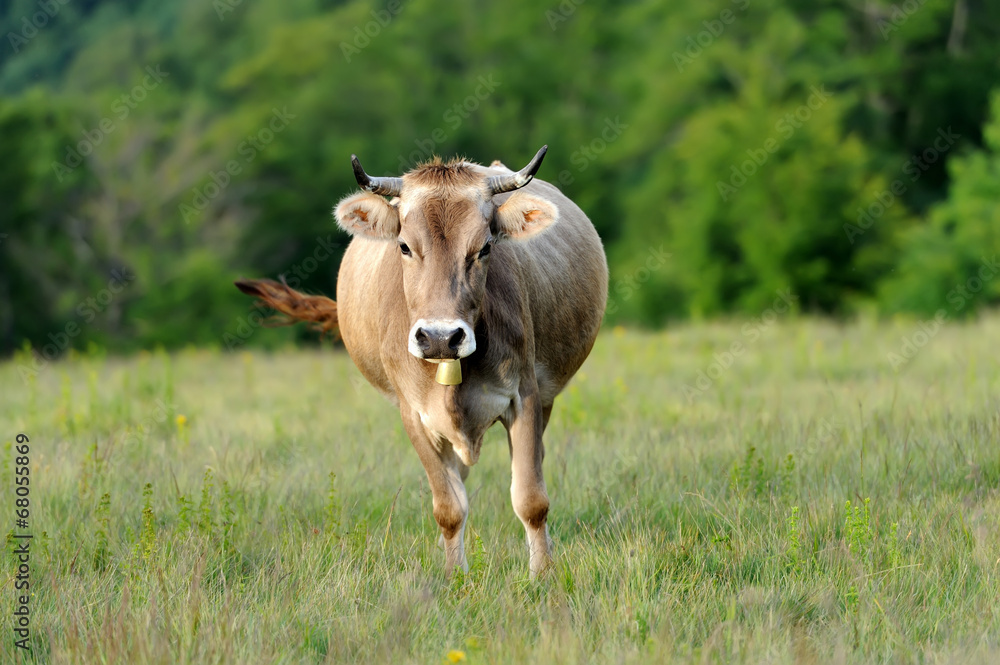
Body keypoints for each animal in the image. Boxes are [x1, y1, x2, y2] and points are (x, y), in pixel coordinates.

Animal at [236, 147, 608, 576]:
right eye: (404, 246)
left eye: (485, 247)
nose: (441, 337)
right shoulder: (413, 413)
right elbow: (449, 507)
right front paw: (454, 577)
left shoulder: (526, 396)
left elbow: (531, 499)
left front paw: (542, 575)